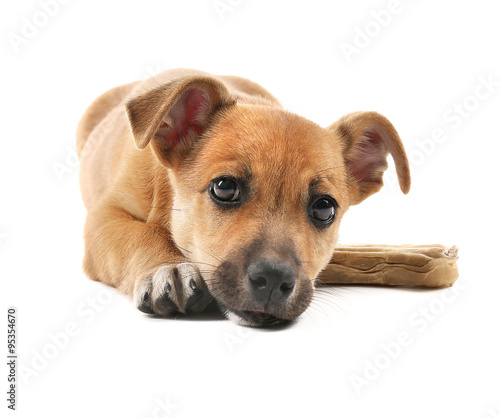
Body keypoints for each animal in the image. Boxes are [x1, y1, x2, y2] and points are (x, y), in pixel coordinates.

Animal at [75, 68, 410, 328]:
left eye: (324, 208)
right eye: (224, 188)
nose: (273, 281)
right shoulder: (104, 218)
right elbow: (139, 235)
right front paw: (168, 267)